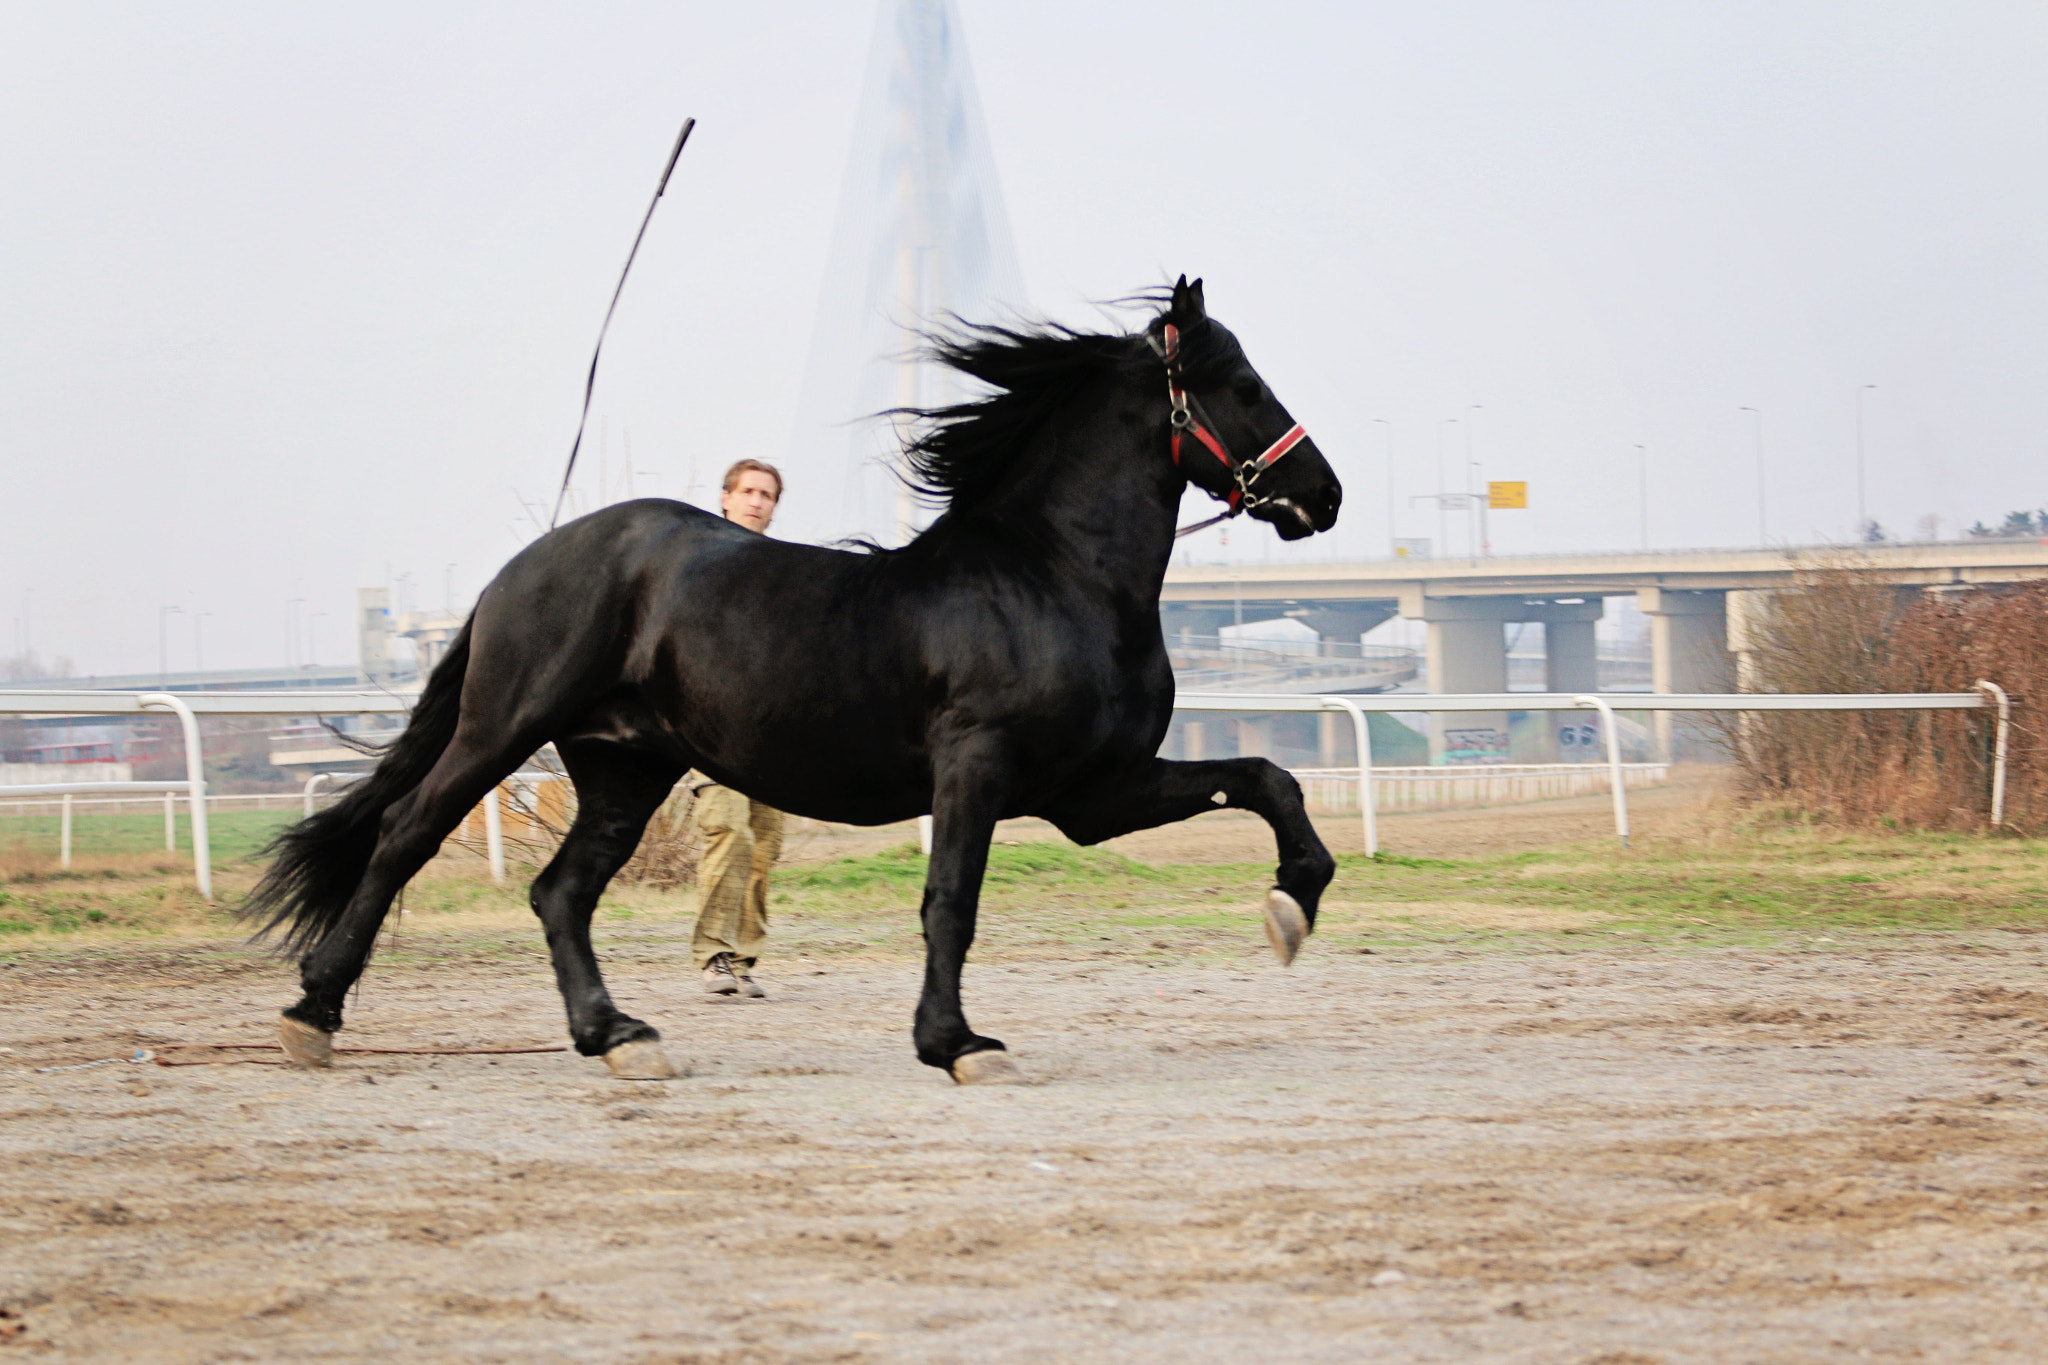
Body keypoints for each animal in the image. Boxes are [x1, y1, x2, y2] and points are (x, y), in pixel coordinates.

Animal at [245, 276, 1344, 1084]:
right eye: (1242, 382)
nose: (1322, 495)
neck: (1051, 575)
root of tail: (522, 566)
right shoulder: (978, 767)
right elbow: (951, 899)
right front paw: (954, 1045)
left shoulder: (1091, 792)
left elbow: (1264, 778)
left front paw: (1292, 907)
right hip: (500, 729)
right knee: (405, 836)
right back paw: (313, 1013)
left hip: (623, 768)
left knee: (561, 892)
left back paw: (618, 1035)